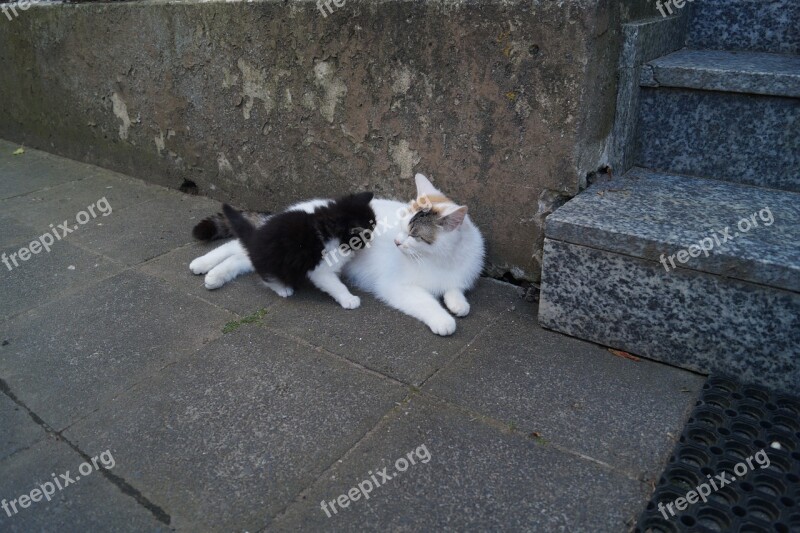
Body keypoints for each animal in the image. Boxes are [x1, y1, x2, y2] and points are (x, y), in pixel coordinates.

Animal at [219, 192, 376, 308]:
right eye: (367, 234)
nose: (372, 240)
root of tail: (254, 236)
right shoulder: (320, 269)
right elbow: (334, 284)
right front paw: (349, 299)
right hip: (273, 260)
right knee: (267, 276)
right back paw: (282, 287)